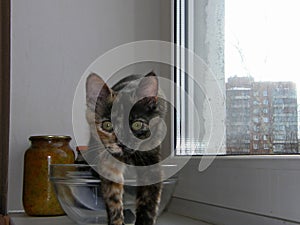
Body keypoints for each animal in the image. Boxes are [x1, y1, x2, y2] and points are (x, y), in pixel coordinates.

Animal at [85, 72, 166, 225]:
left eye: (136, 125)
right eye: (107, 125)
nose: (121, 143)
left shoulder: (151, 163)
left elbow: (149, 202)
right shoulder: (108, 162)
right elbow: (114, 201)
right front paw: (116, 220)